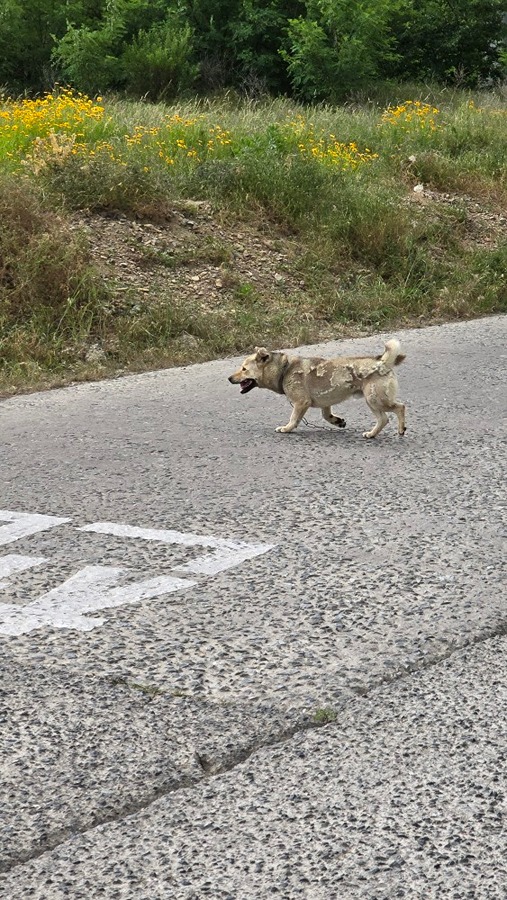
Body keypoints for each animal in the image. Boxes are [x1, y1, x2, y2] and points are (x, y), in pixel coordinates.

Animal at [230, 338, 408, 440]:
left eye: (244, 369)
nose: (229, 378)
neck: (285, 369)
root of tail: (382, 362)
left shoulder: (301, 403)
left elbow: (293, 419)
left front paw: (287, 428)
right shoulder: (325, 403)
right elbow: (326, 416)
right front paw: (338, 421)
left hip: (375, 399)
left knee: (399, 407)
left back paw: (400, 429)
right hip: (372, 402)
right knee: (383, 419)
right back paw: (372, 434)